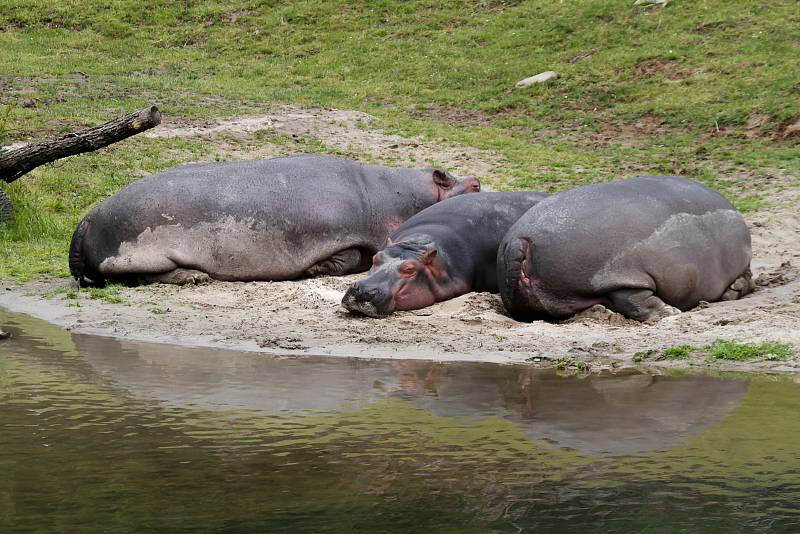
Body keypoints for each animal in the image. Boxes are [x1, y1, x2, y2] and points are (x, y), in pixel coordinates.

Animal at [69, 155, 478, 288]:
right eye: (450, 179)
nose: (476, 179)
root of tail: (87, 217)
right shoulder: (342, 236)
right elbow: (346, 258)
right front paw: (314, 270)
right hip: (138, 250)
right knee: (136, 276)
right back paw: (195, 277)